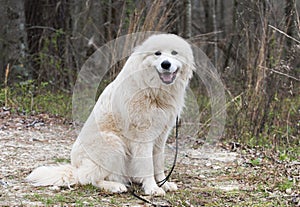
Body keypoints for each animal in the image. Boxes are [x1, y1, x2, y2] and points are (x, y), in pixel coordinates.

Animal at [27, 33, 196, 196]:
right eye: (157, 53)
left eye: (174, 53)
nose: (165, 64)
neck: (153, 90)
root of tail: (75, 167)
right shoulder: (143, 137)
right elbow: (147, 166)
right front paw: (152, 188)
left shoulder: (161, 136)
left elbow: (158, 164)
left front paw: (163, 184)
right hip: (113, 143)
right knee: (89, 178)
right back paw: (115, 186)